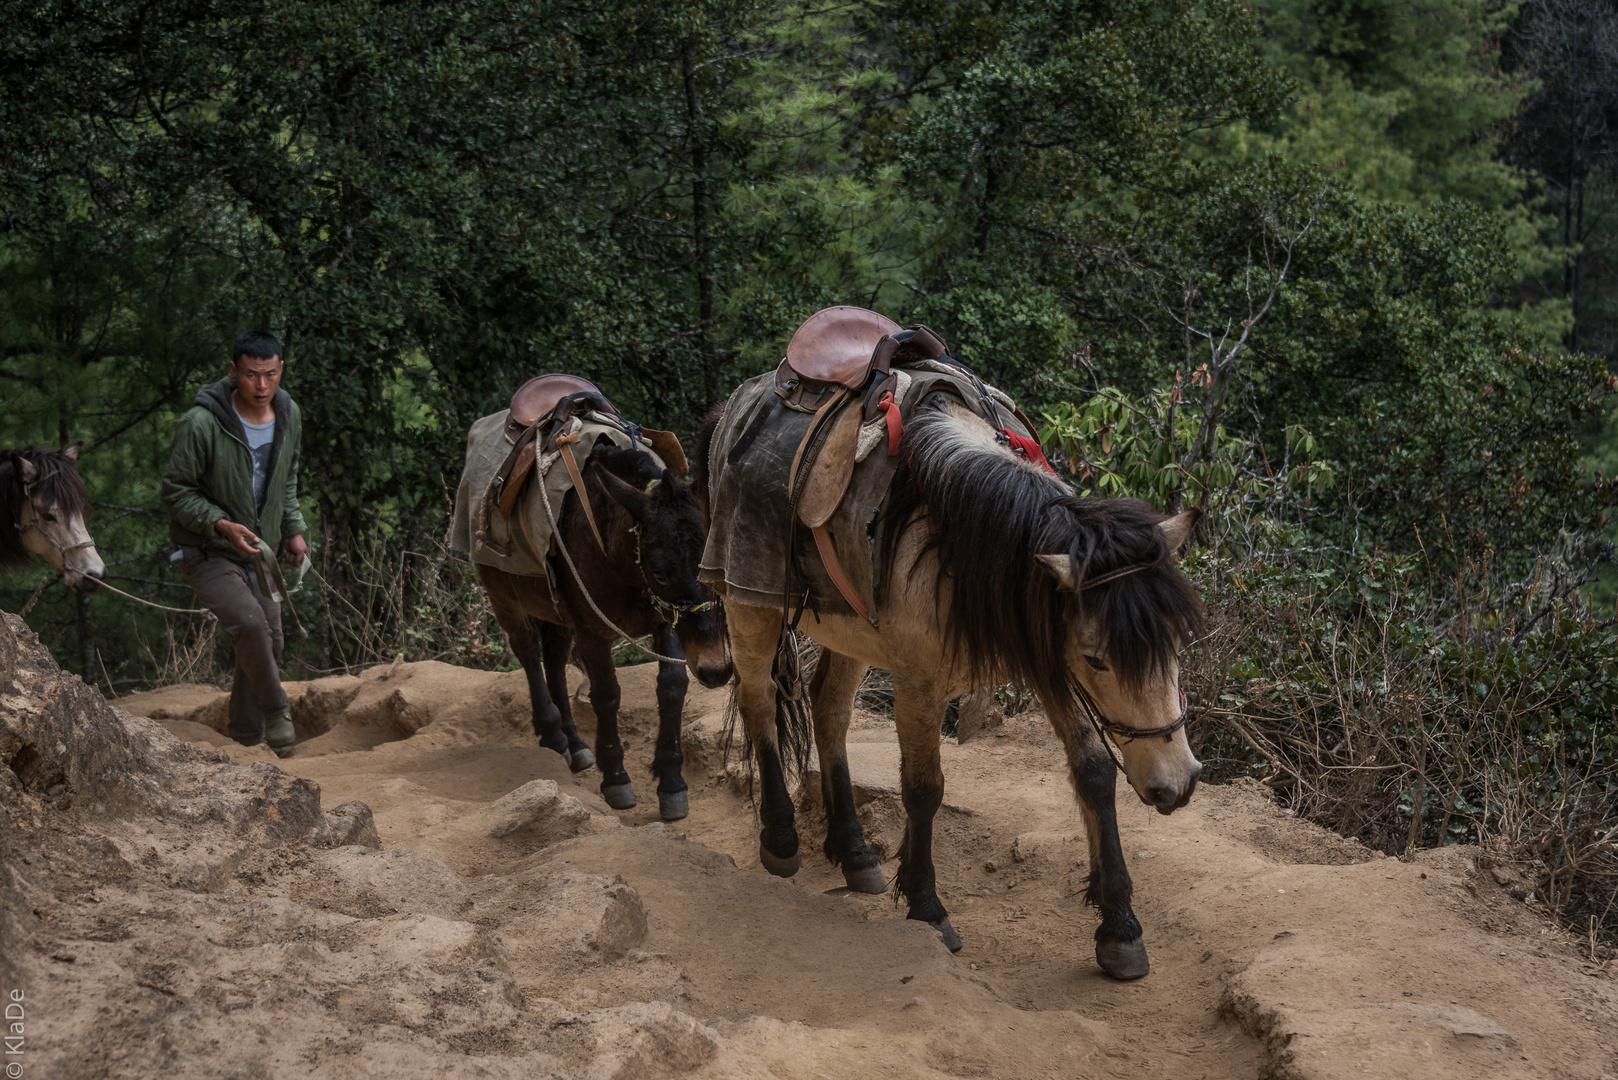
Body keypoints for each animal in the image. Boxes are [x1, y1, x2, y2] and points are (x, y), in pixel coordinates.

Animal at [456, 378, 734, 819]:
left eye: (713, 568)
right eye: (661, 572)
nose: (716, 669)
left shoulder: (664, 621)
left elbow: (672, 686)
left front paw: (671, 780)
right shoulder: (593, 630)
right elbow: (606, 694)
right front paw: (616, 778)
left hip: (556, 610)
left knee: (553, 658)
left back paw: (574, 742)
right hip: (504, 596)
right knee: (529, 653)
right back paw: (554, 736)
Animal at [695, 310, 1203, 977]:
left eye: (1176, 646)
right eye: (1098, 659)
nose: (1177, 784)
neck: (961, 534)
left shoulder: (1042, 652)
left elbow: (1093, 770)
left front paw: (1119, 925)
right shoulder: (922, 684)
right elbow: (923, 789)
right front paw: (927, 907)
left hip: (851, 634)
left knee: (827, 709)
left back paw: (855, 853)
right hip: (748, 603)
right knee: (758, 702)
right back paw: (781, 839)